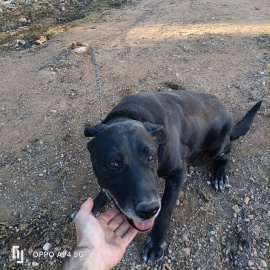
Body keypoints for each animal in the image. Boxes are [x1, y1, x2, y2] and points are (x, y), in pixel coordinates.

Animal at [84, 90, 262, 264]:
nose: (148, 210)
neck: (130, 115)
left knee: (227, 152)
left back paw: (220, 174)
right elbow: (105, 190)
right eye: (113, 164)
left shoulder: (178, 174)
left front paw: (155, 243)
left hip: (217, 147)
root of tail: (224, 107)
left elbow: (165, 210)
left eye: (151, 157)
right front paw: (95, 204)